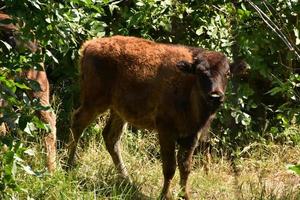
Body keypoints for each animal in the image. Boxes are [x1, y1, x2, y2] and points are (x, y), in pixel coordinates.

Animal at [68, 35, 244, 198]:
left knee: (111, 137)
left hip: (118, 112)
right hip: (95, 102)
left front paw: (185, 195)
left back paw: (127, 179)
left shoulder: (191, 135)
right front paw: (164, 195)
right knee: (78, 122)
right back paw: (69, 166)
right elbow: (170, 167)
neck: (188, 85)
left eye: (227, 73)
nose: (215, 96)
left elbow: (185, 167)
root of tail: (89, 45)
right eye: (200, 72)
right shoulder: (166, 131)